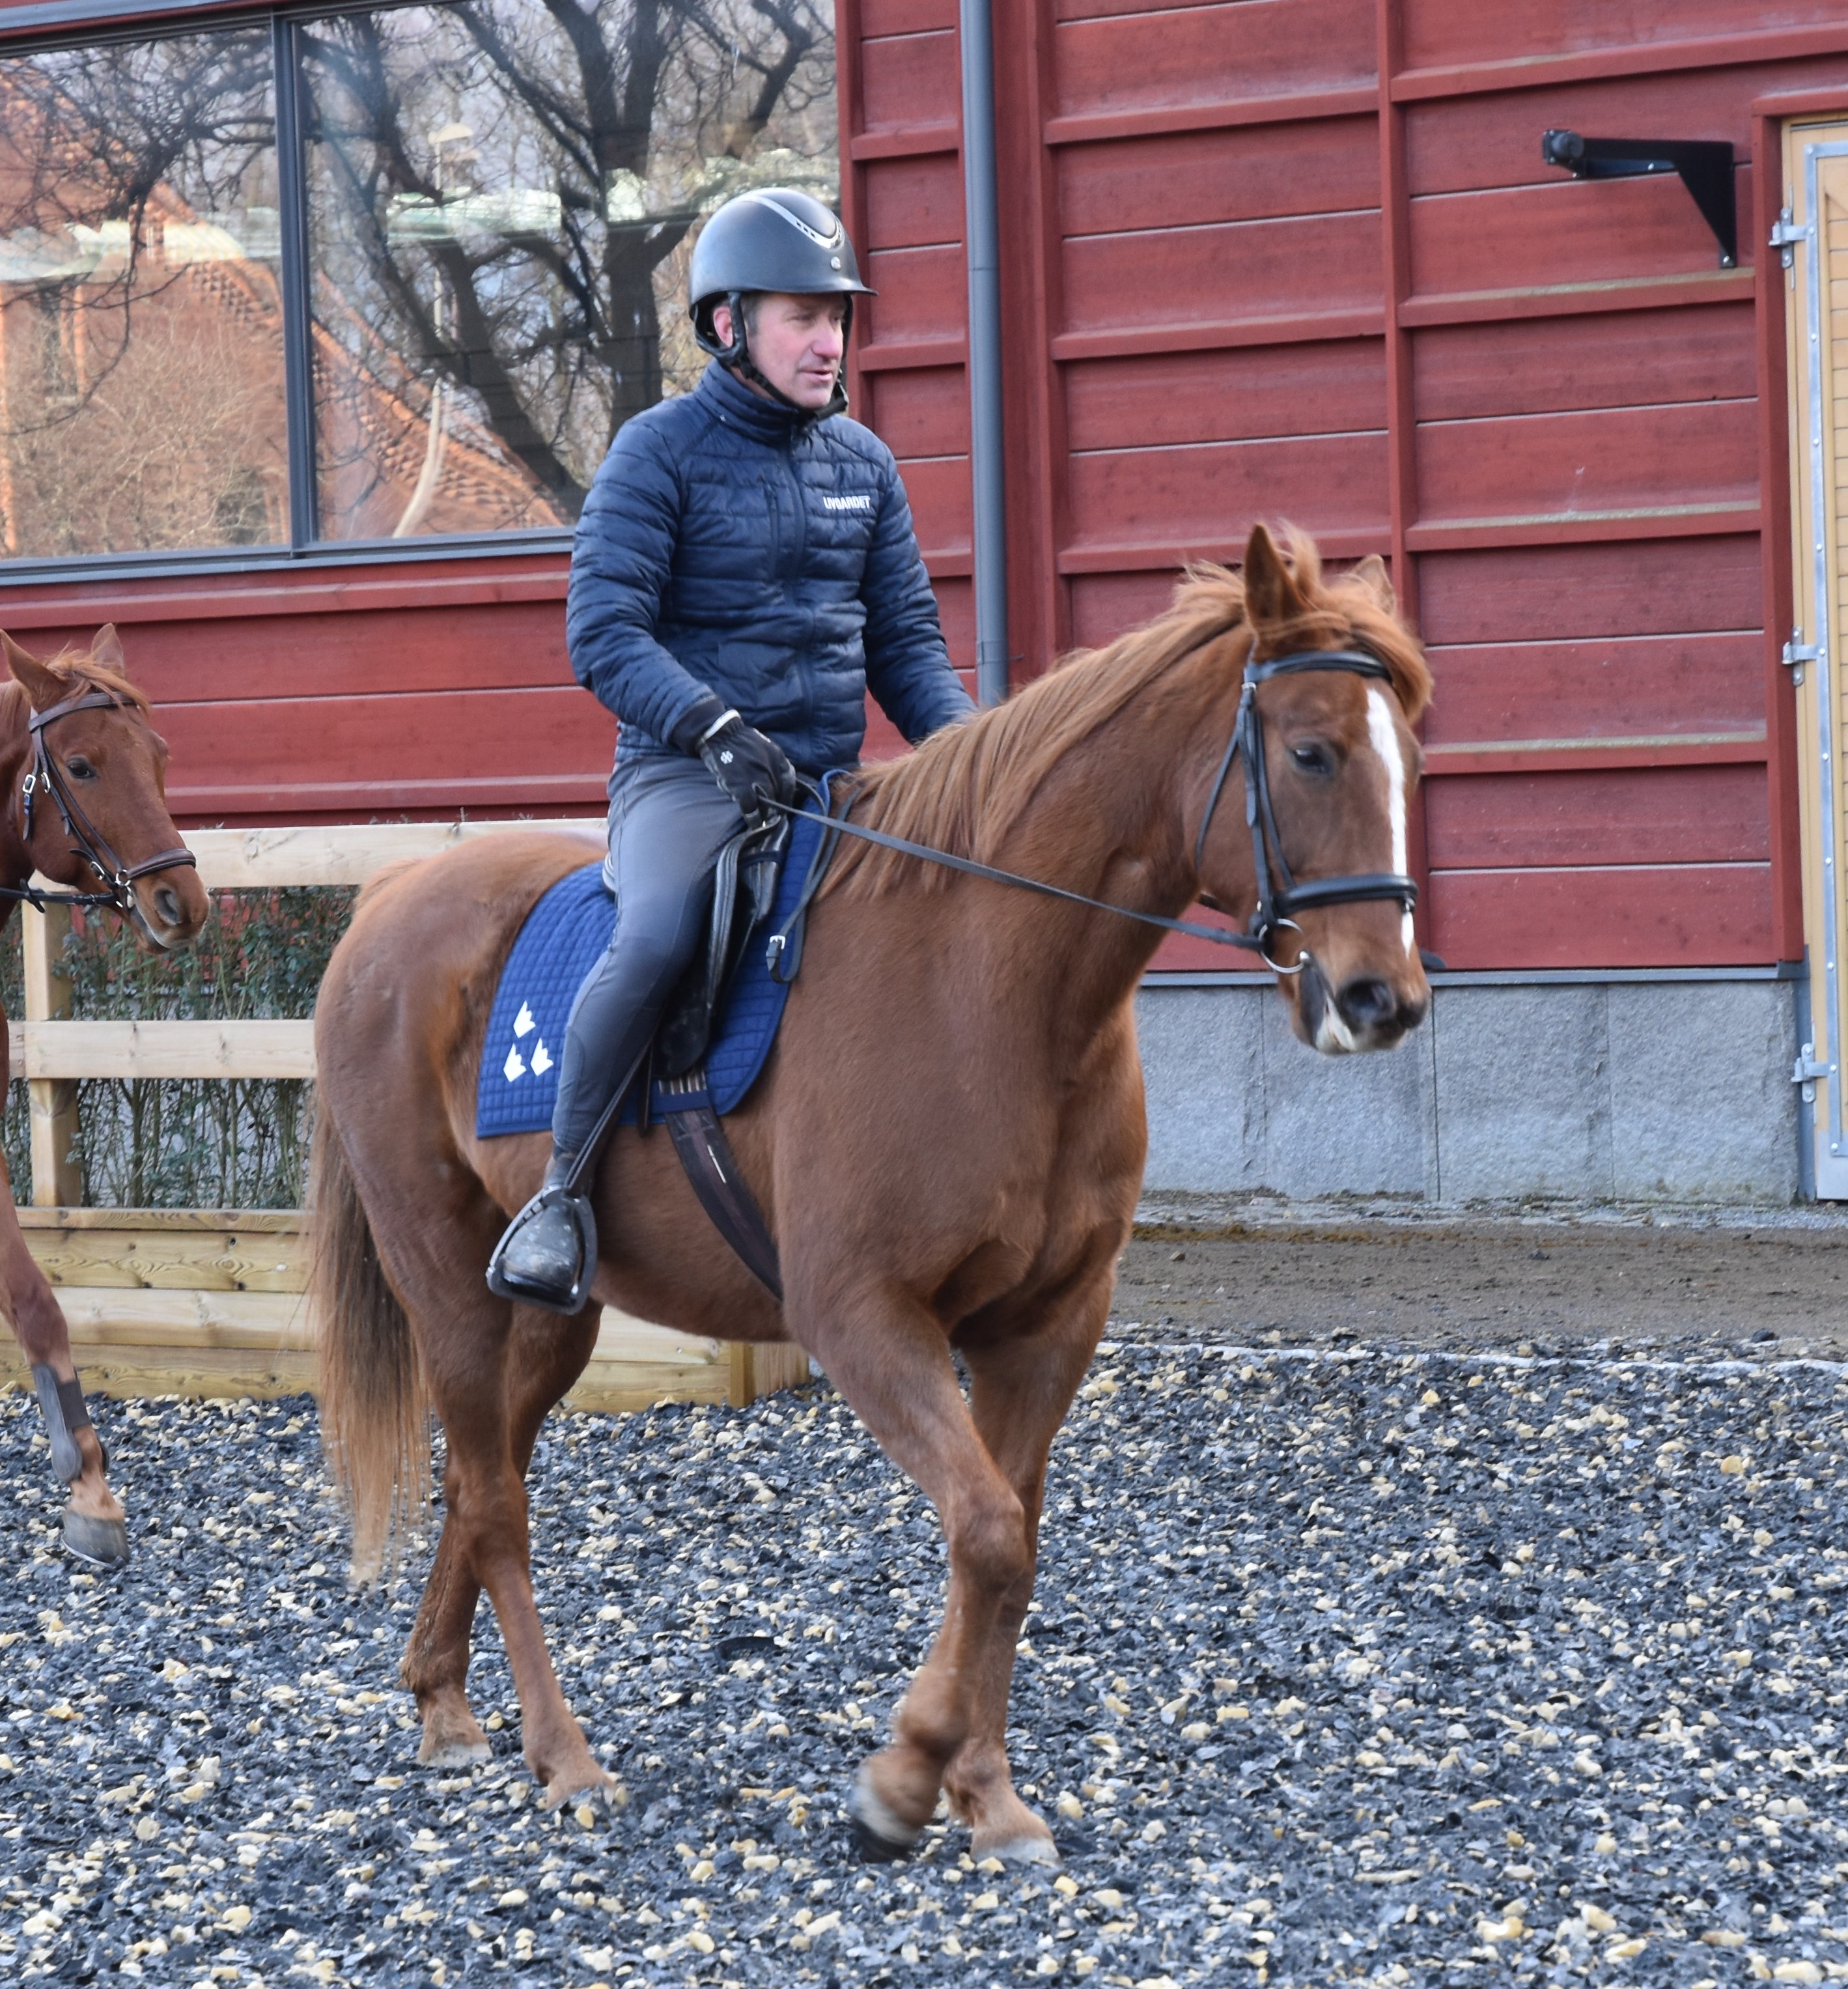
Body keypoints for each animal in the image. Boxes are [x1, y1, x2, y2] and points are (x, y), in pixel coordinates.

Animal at [310, 525, 1432, 1861]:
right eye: (1309, 749)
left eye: (1409, 757)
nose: (1381, 999)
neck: (995, 990)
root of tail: (390, 905)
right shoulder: (863, 1317)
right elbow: (988, 1534)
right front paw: (905, 1777)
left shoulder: (1044, 1325)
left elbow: (1007, 1540)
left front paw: (981, 1792)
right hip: (448, 1281)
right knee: (494, 1501)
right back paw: (564, 1756)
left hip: (551, 1318)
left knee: (481, 1480)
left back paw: (440, 1699)